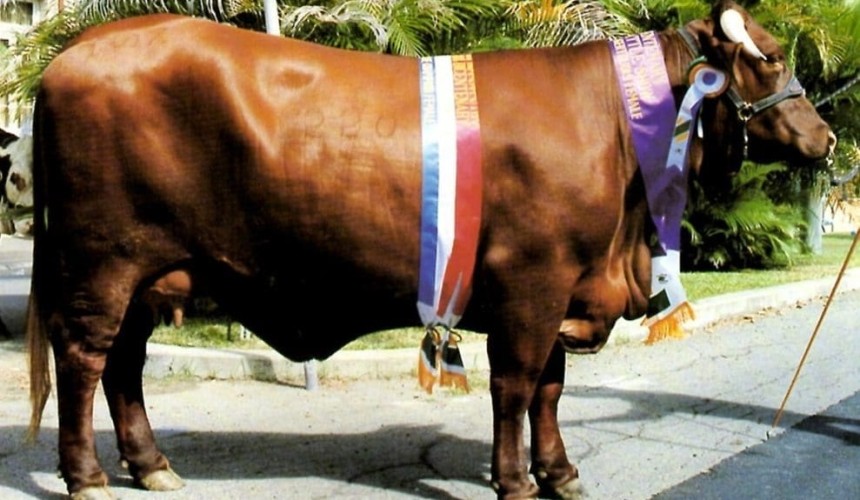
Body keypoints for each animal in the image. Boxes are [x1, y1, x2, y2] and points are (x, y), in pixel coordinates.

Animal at [26, 1, 834, 498]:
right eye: (767, 58)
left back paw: (151, 466)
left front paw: (559, 472)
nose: (827, 138)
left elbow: (551, 390)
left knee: (124, 365)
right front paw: (516, 480)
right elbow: (516, 387)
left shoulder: (565, 287)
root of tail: (83, 47)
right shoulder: (533, 283)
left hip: (147, 273)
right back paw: (89, 476)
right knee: (85, 360)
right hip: (100, 263)